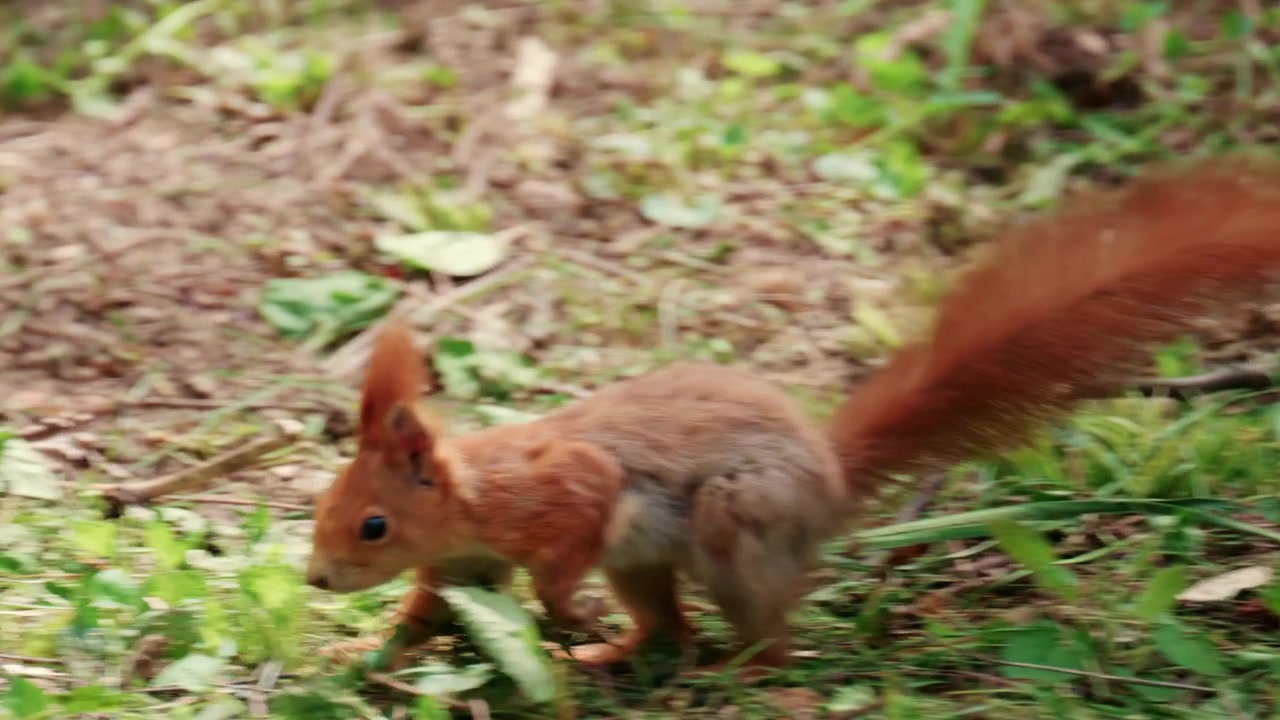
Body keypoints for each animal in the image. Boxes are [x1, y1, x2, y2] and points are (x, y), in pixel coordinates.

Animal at [305, 155, 1280, 677]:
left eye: (374, 524)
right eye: (323, 507)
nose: (316, 578)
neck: (471, 497)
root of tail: (832, 478)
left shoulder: (560, 489)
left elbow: (578, 514)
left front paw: (559, 607)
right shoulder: (462, 565)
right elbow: (422, 615)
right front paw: (363, 660)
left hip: (735, 520)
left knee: (767, 638)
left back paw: (734, 665)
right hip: (648, 562)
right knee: (667, 623)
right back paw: (617, 654)